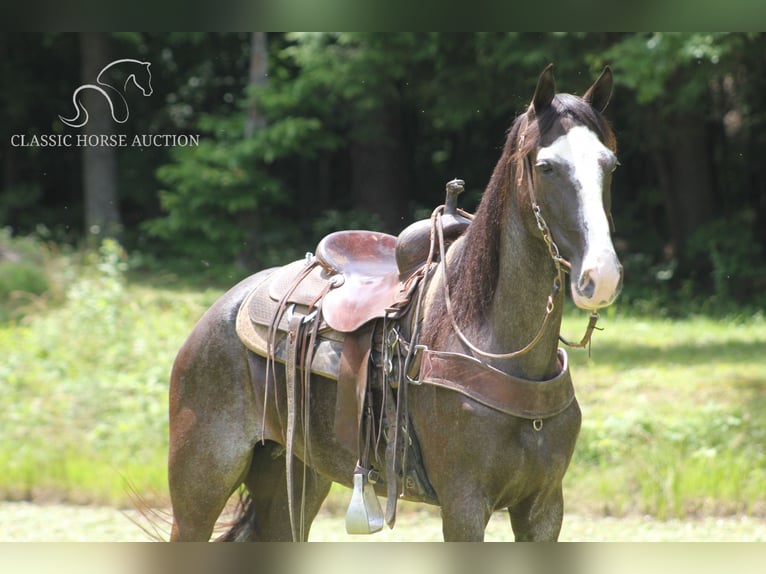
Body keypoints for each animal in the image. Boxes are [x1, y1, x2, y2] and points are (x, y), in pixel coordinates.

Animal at [168, 65, 624, 544]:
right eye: (547, 166)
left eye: (610, 165)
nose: (602, 275)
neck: (495, 345)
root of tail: (221, 310)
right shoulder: (464, 506)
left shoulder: (544, 508)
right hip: (200, 487)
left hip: (297, 476)